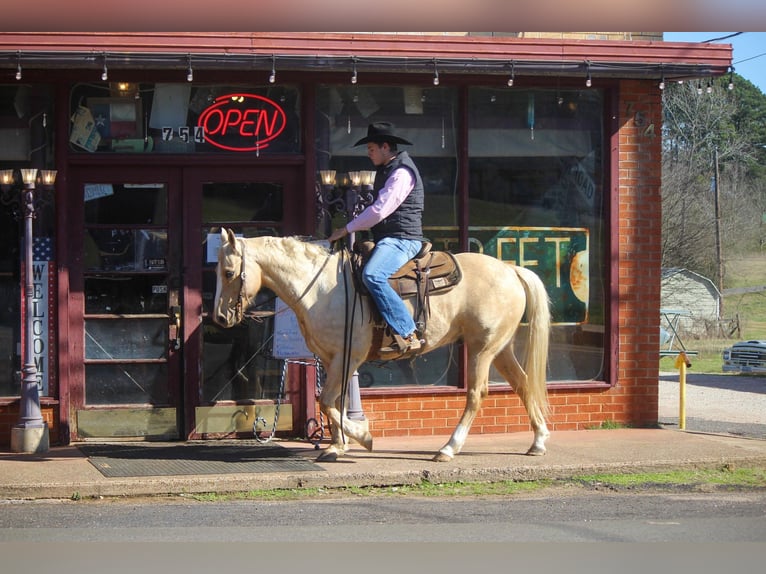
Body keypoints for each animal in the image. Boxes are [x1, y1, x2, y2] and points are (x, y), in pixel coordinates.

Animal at [216, 230, 552, 464]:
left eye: (228, 272)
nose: (219, 316)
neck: (321, 288)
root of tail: (511, 270)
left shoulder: (348, 356)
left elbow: (327, 401)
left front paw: (362, 437)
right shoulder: (332, 358)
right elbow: (334, 402)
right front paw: (337, 445)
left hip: (481, 348)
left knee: (476, 394)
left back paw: (448, 448)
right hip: (500, 347)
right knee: (523, 383)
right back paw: (538, 441)